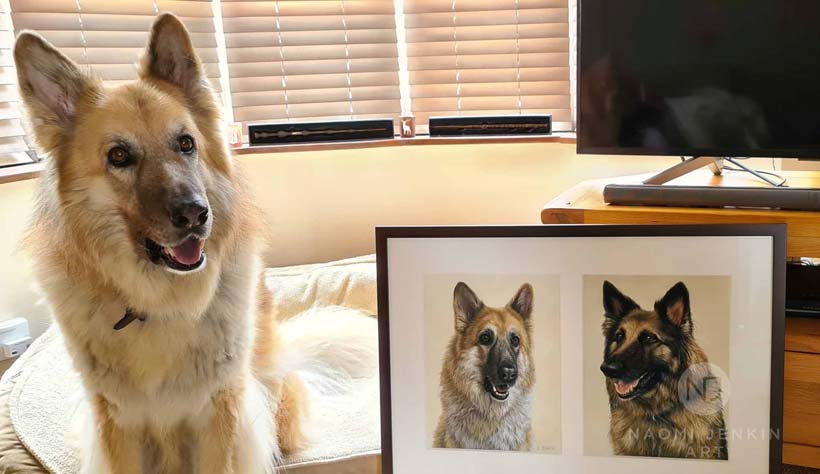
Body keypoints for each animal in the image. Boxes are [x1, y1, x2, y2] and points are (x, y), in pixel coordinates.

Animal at [13, 12, 378, 472]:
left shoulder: (220, 409)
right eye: (119, 156)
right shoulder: (115, 419)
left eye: (185, 143)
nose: (194, 215)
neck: (158, 304)